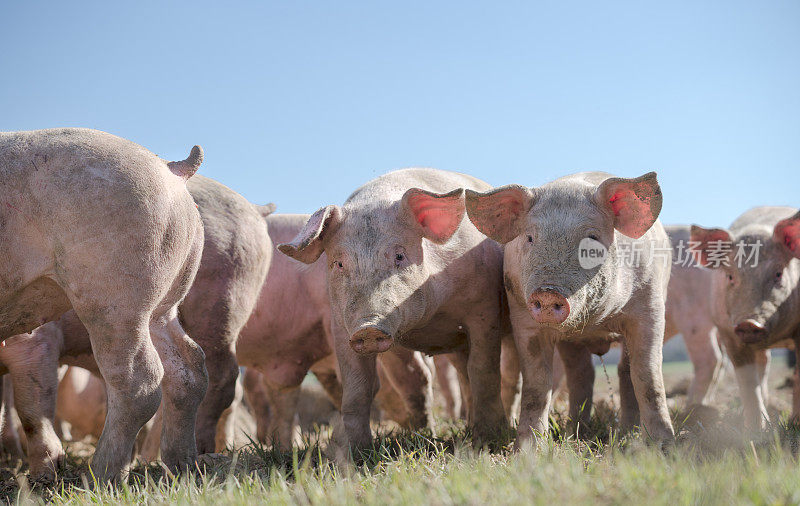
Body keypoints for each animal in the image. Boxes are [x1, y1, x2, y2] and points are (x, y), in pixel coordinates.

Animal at [0, 128, 209, 480]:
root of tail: (173, 169)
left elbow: (30, 406)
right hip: (164, 302)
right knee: (188, 368)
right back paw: (182, 469)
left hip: (114, 296)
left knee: (139, 382)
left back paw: (98, 477)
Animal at [278, 168, 510, 448]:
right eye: (339, 263)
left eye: (399, 255)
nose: (368, 327)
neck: (429, 321)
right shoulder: (343, 325)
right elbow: (360, 386)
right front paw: (357, 450)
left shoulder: (484, 308)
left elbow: (484, 370)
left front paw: (490, 440)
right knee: (444, 375)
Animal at [466, 171, 680, 446]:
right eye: (530, 237)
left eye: (591, 238)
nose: (548, 292)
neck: (594, 323)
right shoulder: (523, 317)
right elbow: (536, 385)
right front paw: (527, 449)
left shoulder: (650, 308)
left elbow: (648, 377)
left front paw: (664, 446)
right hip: (571, 343)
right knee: (581, 374)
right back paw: (575, 433)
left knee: (624, 372)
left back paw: (625, 433)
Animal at [692, 207, 796, 430]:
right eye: (730, 276)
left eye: (778, 274)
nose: (749, 322)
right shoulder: (727, 333)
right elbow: (747, 380)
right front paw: (757, 430)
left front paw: (794, 424)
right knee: (763, 364)